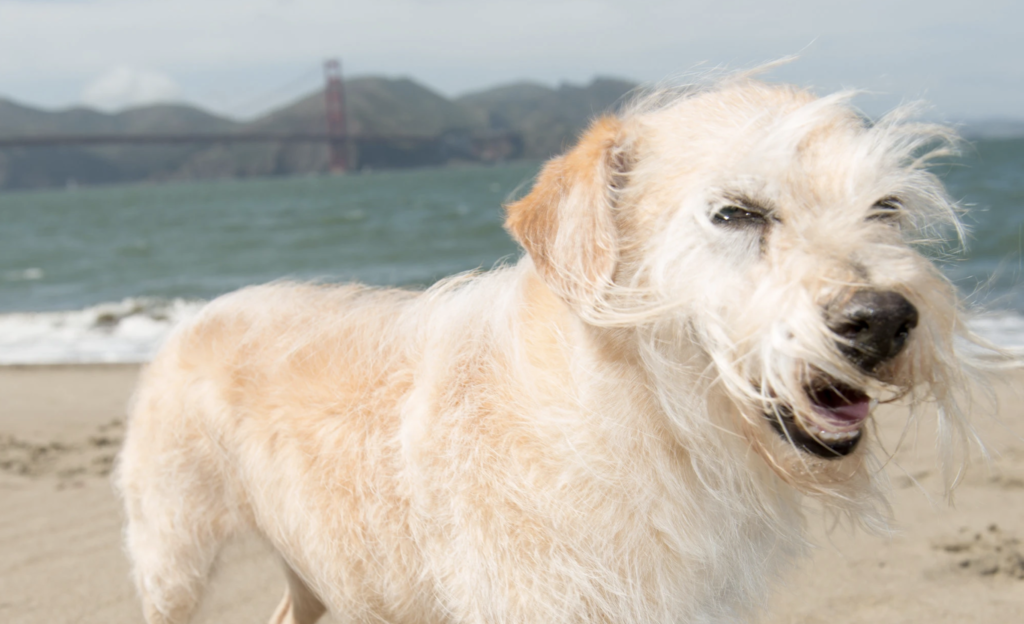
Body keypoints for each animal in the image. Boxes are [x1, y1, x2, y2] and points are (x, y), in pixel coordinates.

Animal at [116, 78, 987, 622]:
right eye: (736, 212)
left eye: (886, 208)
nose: (883, 320)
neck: (638, 417)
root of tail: (199, 311)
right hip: (172, 560)